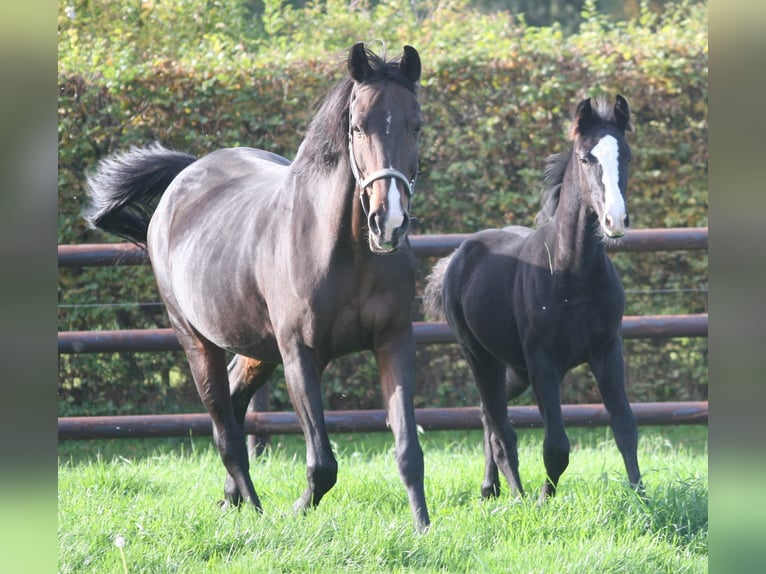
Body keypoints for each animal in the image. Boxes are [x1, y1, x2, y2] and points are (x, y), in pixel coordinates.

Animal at [87, 42, 432, 532]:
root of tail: (184, 177)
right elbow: (323, 464)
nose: (390, 222)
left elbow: (408, 451)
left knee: (234, 404)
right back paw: (251, 509)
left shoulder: (394, 343)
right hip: (197, 342)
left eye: (416, 125)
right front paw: (296, 510)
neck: (343, 251)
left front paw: (423, 527)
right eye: (357, 126)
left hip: (258, 349)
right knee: (225, 430)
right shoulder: (300, 356)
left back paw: (231, 498)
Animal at [424, 97, 644, 506]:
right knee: (499, 427)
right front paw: (543, 498)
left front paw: (642, 498)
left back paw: (490, 487)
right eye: (586, 158)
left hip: (515, 369)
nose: (616, 220)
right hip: (482, 358)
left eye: (628, 155)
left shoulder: (607, 351)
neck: (572, 273)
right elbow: (555, 444)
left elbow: (625, 426)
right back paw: (514, 494)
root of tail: (457, 257)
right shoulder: (543, 361)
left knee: (487, 417)